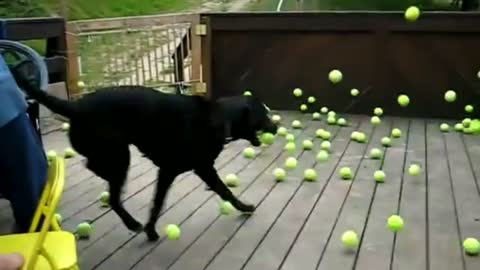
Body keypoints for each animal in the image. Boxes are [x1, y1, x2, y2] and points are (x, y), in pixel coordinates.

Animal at [15, 76, 278, 240]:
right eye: (263, 113)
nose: (275, 127)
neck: (218, 118)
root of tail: (75, 107)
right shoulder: (181, 170)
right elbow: (161, 204)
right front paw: (151, 231)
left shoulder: (190, 170)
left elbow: (222, 192)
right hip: (120, 157)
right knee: (111, 194)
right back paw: (132, 223)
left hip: (114, 154)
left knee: (96, 172)